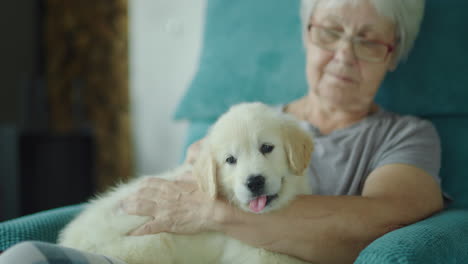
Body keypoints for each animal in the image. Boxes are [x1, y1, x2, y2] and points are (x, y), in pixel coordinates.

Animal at [58, 102, 314, 264]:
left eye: (267, 147)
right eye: (230, 160)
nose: (254, 182)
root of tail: (68, 242)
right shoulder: (253, 254)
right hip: (154, 244)